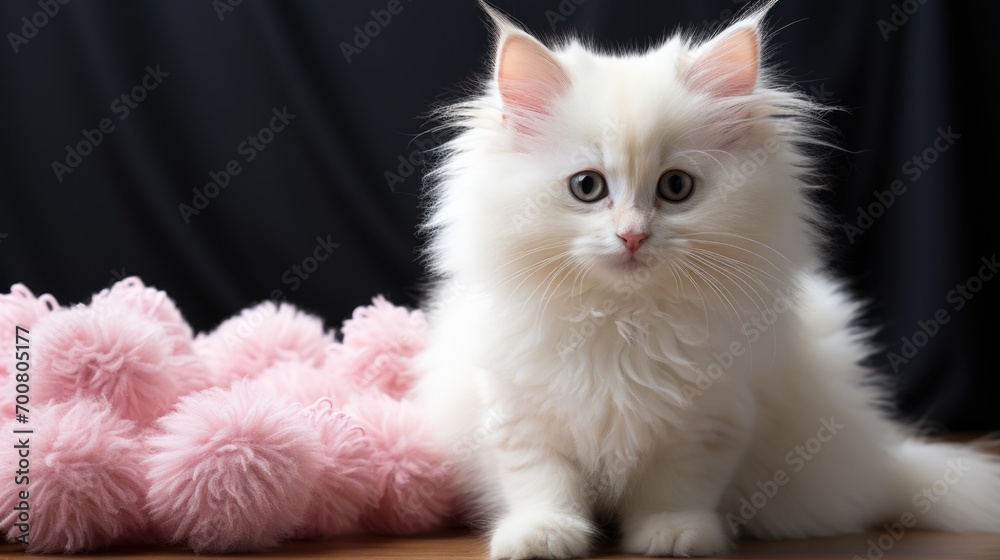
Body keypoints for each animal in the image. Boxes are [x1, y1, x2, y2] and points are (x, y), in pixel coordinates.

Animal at [408, 4, 1000, 560]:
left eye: (675, 187)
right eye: (586, 187)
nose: (632, 236)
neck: (624, 320)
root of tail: (880, 460)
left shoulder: (707, 420)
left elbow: (676, 489)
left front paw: (672, 535)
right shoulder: (520, 416)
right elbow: (543, 485)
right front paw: (543, 536)